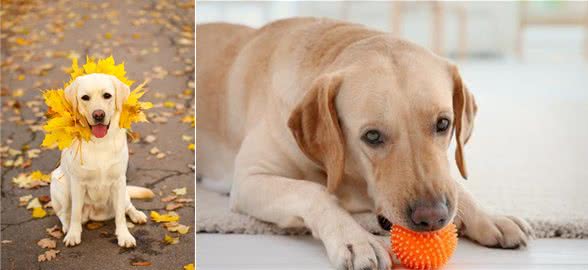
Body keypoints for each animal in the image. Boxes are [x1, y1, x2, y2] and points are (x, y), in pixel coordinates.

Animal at [49, 73, 154, 247]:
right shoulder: (78, 183)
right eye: (85, 97)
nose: (98, 115)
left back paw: (137, 215)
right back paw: (67, 227)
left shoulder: (119, 180)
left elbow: (120, 216)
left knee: (127, 206)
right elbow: (75, 213)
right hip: (59, 185)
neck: (100, 142)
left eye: (107, 95)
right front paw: (73, 234)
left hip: (123, 191)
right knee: (64, 214)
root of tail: (96, 214)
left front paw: (124, 236)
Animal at [196, 17, 532, 268]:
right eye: (372, 136)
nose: (433, 217)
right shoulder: (249, 180)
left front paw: (491, 215)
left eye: (443, 124)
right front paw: (356, 238)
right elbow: (314, 191)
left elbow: (457, 187)